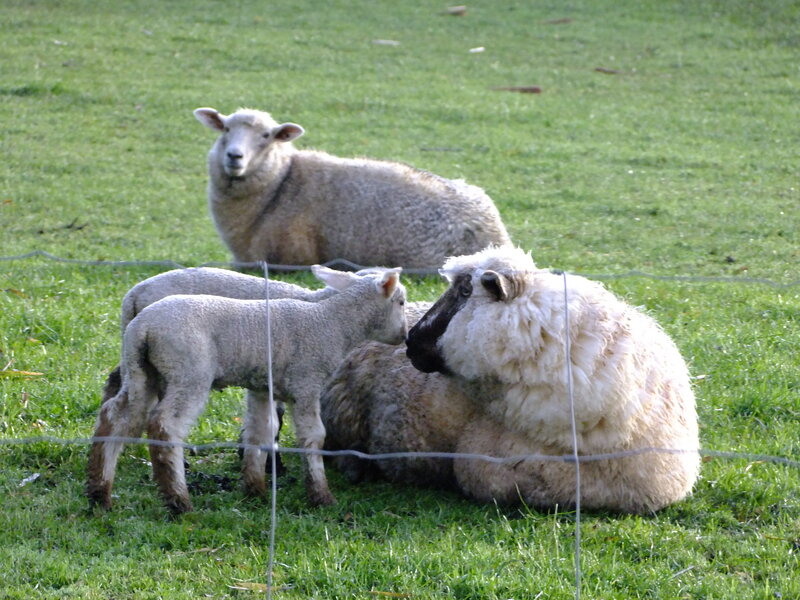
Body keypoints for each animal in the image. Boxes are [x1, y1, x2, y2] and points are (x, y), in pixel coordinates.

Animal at [87, 266, 407, 513]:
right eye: (402, 302)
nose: (405, 337)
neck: (330, 321)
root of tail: (142, 322)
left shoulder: (262, 386)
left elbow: (261, 431)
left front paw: (256, 490)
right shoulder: (306, 383)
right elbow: (313, 437)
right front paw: (320, 495)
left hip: (141, 370)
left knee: (116, 415)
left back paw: (100, 493)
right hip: (188, 372)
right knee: (165, 426)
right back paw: (179, 500)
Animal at [193, 107, 512, 269]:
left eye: (266, 136)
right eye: (225, 129)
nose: (234, 156)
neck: (280, 184)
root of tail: (497, 233)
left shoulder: (288, 258)